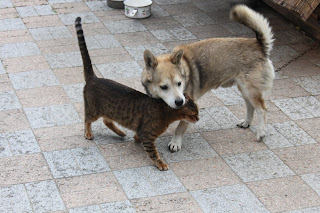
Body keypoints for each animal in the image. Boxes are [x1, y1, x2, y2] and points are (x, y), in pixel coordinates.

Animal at [75, 16, 200, 171]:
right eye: (193, 114)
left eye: (198, 111)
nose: (198, 119)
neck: (165, 112)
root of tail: (94, 78)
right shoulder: (147, 135)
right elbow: (153, 153)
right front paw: (161, 163)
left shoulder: (142, 132)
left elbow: (138, 136)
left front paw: (135, 138)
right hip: (93, 110)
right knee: (87, 120)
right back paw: (88, 133)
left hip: (110, 110)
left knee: (107, 121)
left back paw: (120, 132)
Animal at [142, 4, 276, 151]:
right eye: (164, 87)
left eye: (179, 83)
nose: (180, 101)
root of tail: (258, 45)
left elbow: (179, 128)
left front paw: (176, 142)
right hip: (245, 90)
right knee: (250, 106)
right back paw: (246, 122)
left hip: (251, 91)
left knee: (262, 109)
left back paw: (261, 132)